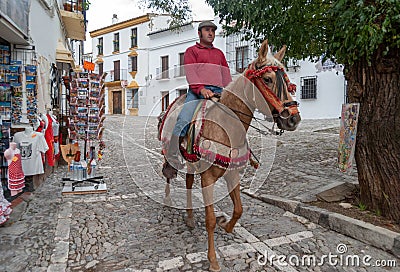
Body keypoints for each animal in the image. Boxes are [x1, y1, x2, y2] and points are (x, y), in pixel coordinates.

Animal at [159, 39, 300, 270]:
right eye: (267, 79)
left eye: (287, 80)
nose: (293, 119)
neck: (225, 126)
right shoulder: (207, 178)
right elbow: (209, 220)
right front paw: (213, 260)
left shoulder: (232, 174)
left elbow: (239, 209)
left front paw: (226, 225)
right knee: (175, 176)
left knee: (188, 182)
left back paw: (190, 217)